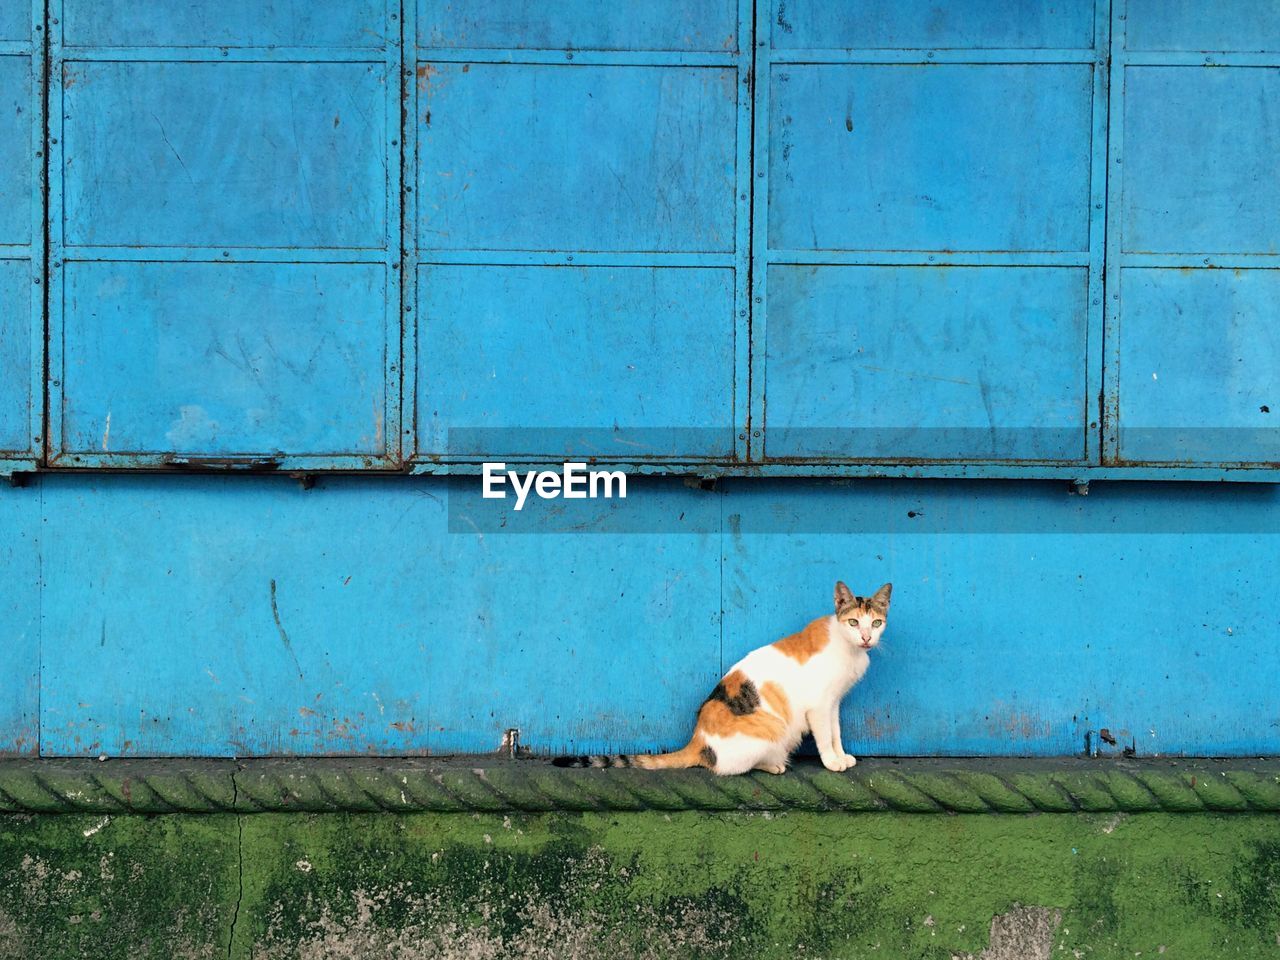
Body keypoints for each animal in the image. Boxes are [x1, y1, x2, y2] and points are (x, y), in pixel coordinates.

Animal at [550, 583, 890, 778]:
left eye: (876, 623)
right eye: (853, 622)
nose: (866, 637)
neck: (848, 649)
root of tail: (697, 741)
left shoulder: (833, 703)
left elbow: (836, 733)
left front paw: (841, 756)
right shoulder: (818, 705)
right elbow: (824, 737)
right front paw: (832, 762)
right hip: (773, 730)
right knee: (727, 767)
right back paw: (774, 764)